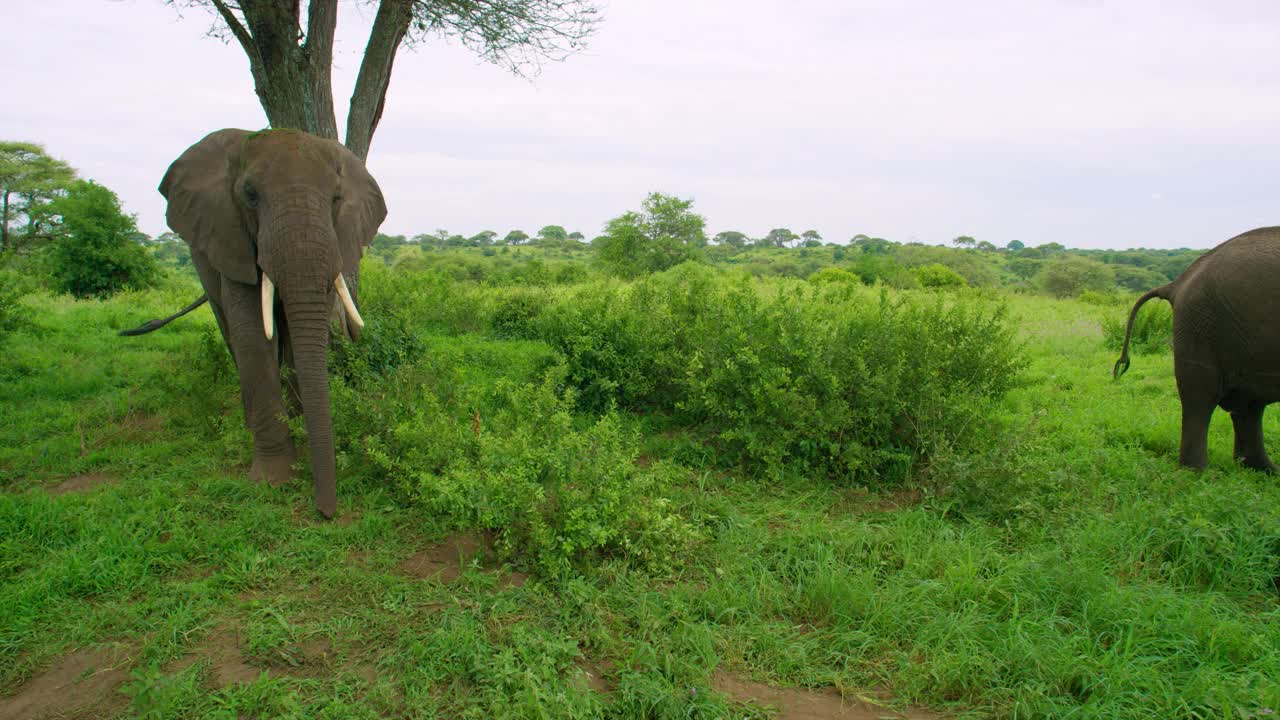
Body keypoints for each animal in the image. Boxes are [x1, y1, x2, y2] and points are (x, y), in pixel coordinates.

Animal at [124, 128, 384, 515]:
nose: (327, 512)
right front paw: (273, 480)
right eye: (250, 196)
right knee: (230, 331)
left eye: (337, 198)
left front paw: (300, 428)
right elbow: (252, 337)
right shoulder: (231, 236)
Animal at [1116, 224, 1280, 471]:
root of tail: (1177, 282)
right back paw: (1196, 472)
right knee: (1201, 397)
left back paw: (1263, 470)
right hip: (1201, 322)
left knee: (1249, 405)